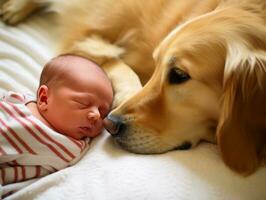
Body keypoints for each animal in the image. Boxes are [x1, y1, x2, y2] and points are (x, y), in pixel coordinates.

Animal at [1, 0, 264, 175]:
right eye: (158, 65)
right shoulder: (86, 40)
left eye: (179, 75)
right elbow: (113, 62)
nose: (110, 124)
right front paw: (125, 93)